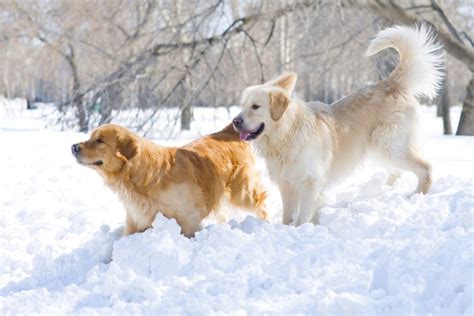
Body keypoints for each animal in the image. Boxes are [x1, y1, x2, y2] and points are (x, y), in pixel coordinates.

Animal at [72, 123, 268, 237]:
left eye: (100, 141)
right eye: (90, 137)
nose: (73, 147)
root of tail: (227, 132)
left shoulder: (188, 218)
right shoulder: (135, 218)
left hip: (243, 194)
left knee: (261, 205)